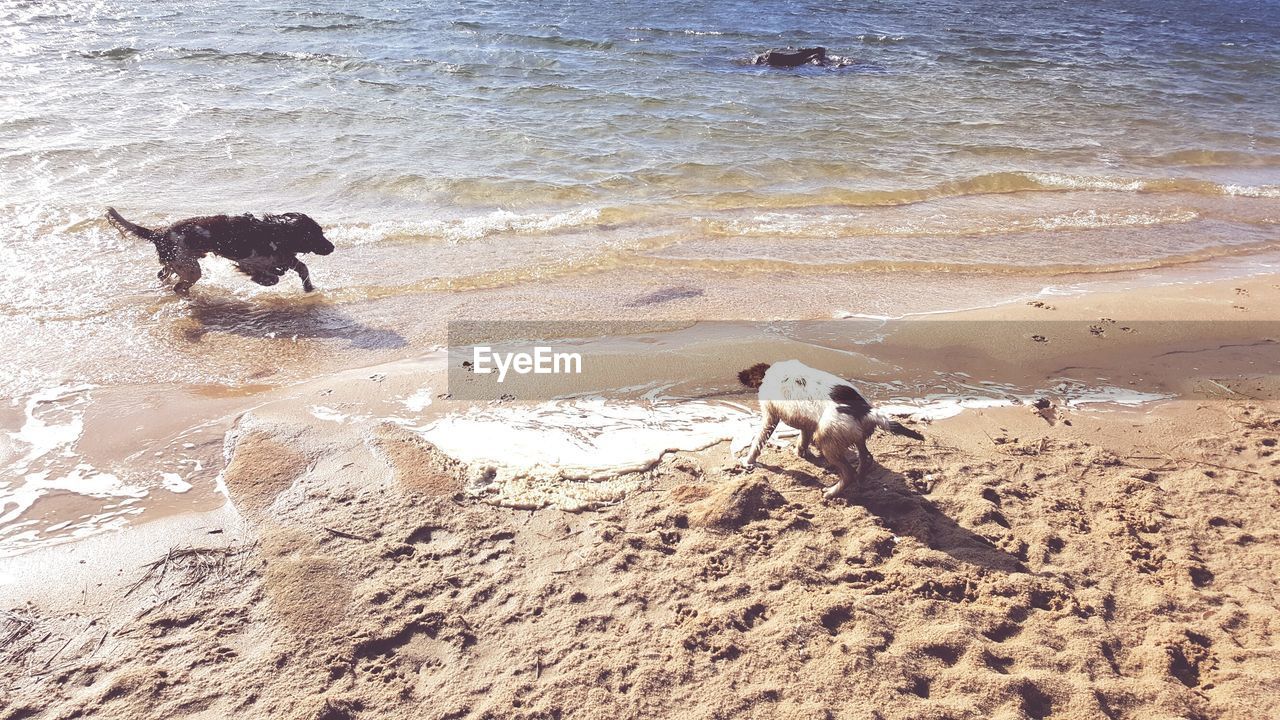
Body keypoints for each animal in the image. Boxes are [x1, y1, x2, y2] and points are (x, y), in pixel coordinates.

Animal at [106, 207, 335, 294]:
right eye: (315, 234)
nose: (332, 247)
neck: (275, 232)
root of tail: (159, 233)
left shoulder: (283, 257)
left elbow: (301, 268)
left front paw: (309, 288)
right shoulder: (248, 260)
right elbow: (272, 277)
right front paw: (263, 279)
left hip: (179, 262)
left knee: (163, 274)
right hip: (191, 268)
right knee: (179, 286)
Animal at [742, 361, 921, 497]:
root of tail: (866, 411)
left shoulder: (770, 416)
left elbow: (758, 442)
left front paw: (748, 461)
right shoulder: (807, 423)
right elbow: (803, 439)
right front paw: (801, 452)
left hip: (827, 440)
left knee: (848, 473)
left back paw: (831, 492)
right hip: (855, 436)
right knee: (866, 458)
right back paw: (860, 479)